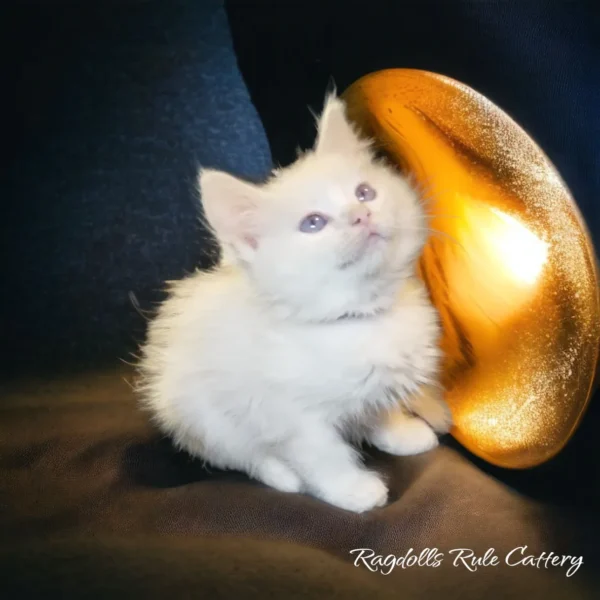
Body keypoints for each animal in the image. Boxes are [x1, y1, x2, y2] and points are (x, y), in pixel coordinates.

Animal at [139, 94, 450, 510]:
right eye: (313, 223)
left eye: (364, 192)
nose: (361, 214)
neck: (357, 317)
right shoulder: (292, 417)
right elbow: (324, 456)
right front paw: (353, 490)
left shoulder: (378, 384)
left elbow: (379, 411)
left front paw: (401, 434)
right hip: (196, 414)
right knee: (241, 455)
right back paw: (284, 476)